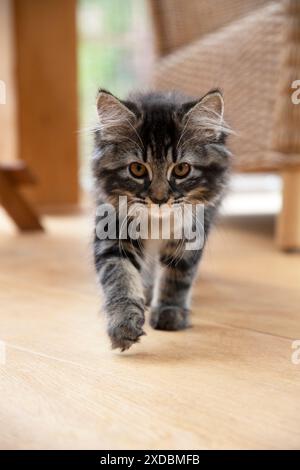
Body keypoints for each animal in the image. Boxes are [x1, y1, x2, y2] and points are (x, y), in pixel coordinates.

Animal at [92, 90, 231, 350]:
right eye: (137, 169)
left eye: (182, 169)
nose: (159, 199)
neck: (156, 222)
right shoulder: (113, 230)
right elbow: (120, 278)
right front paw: (123, 324)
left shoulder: (192, 231)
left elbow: (177, 276)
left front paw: (169, 311)